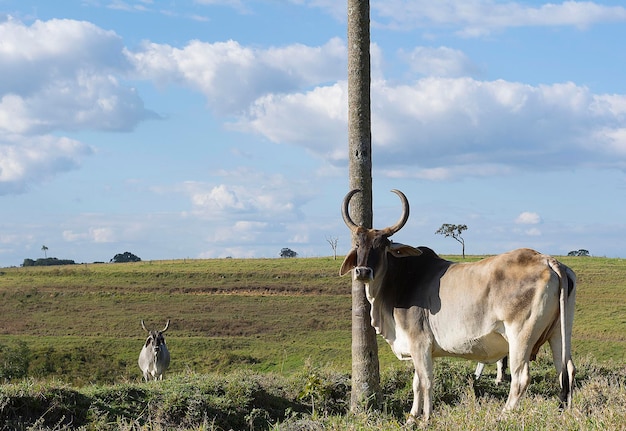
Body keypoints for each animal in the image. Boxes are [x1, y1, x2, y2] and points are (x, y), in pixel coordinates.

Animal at [338, 189, 572, 422]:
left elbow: (426, 382)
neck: (402, 280)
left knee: (521, 378)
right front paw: (412, 417)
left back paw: (503, 416)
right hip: (558, 333)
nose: (362, 271)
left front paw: (426, 419)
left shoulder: (419, 342)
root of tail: (547, 260)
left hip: (520, 337)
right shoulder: (421, 349)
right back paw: (564, 413)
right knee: (566, 370)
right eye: (358, 245)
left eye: (381, 246)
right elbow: (416, 383)